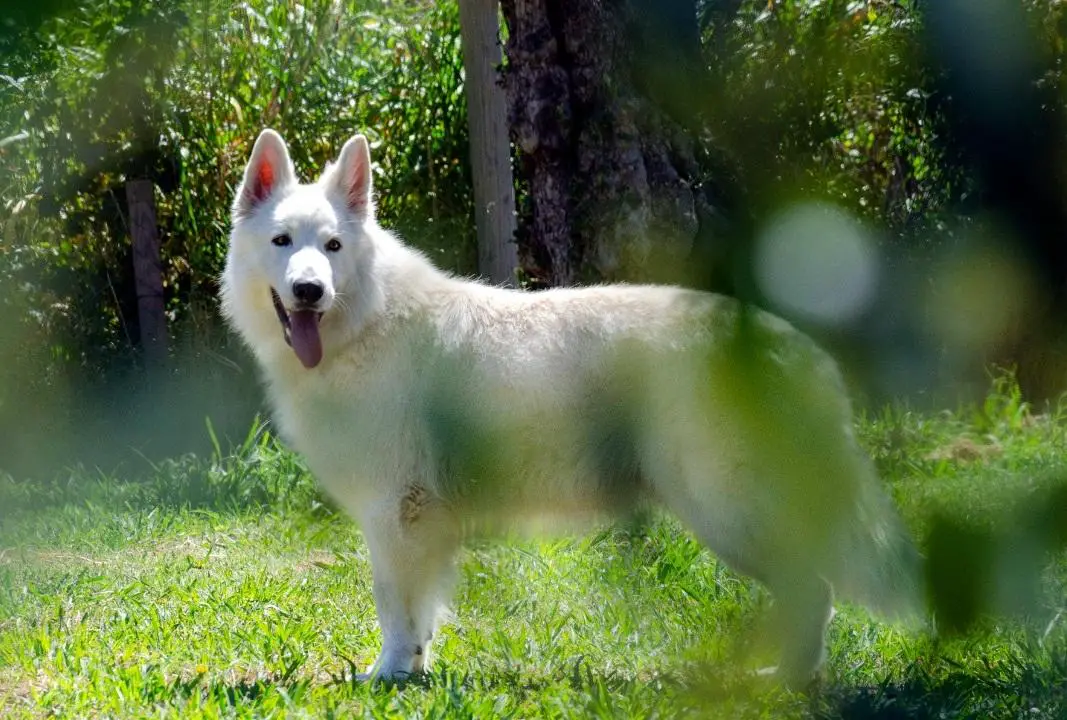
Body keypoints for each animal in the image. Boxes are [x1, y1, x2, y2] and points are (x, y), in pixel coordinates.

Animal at [221, 129, 920, 686]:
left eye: (333, 247)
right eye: (283, 242)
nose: (309, 291)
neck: (365, 322)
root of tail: (801, 351)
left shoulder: (397, 514)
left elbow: (395, 608)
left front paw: (387, 675)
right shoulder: (418, 522)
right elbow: (420, 616)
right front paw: (413, 671)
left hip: (726, 511)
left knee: (814, 589)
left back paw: (784, 683)